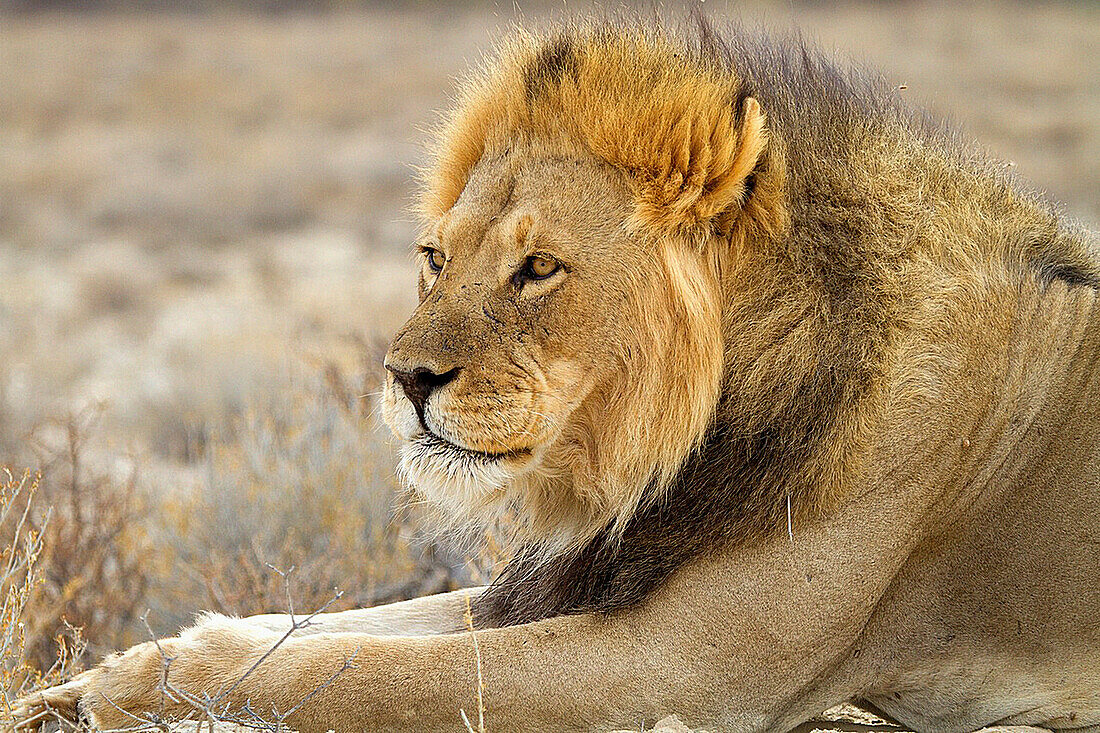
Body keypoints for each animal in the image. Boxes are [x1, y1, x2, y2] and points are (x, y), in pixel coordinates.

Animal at [10, 14, 1100, 730]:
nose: (403, 378)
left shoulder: (677, 669)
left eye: (538, 267)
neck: (663, 460)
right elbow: (337, 627)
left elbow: (374, 670)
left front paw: (137, 683)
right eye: (434, 257)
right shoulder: (566, 583)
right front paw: (97, 675)